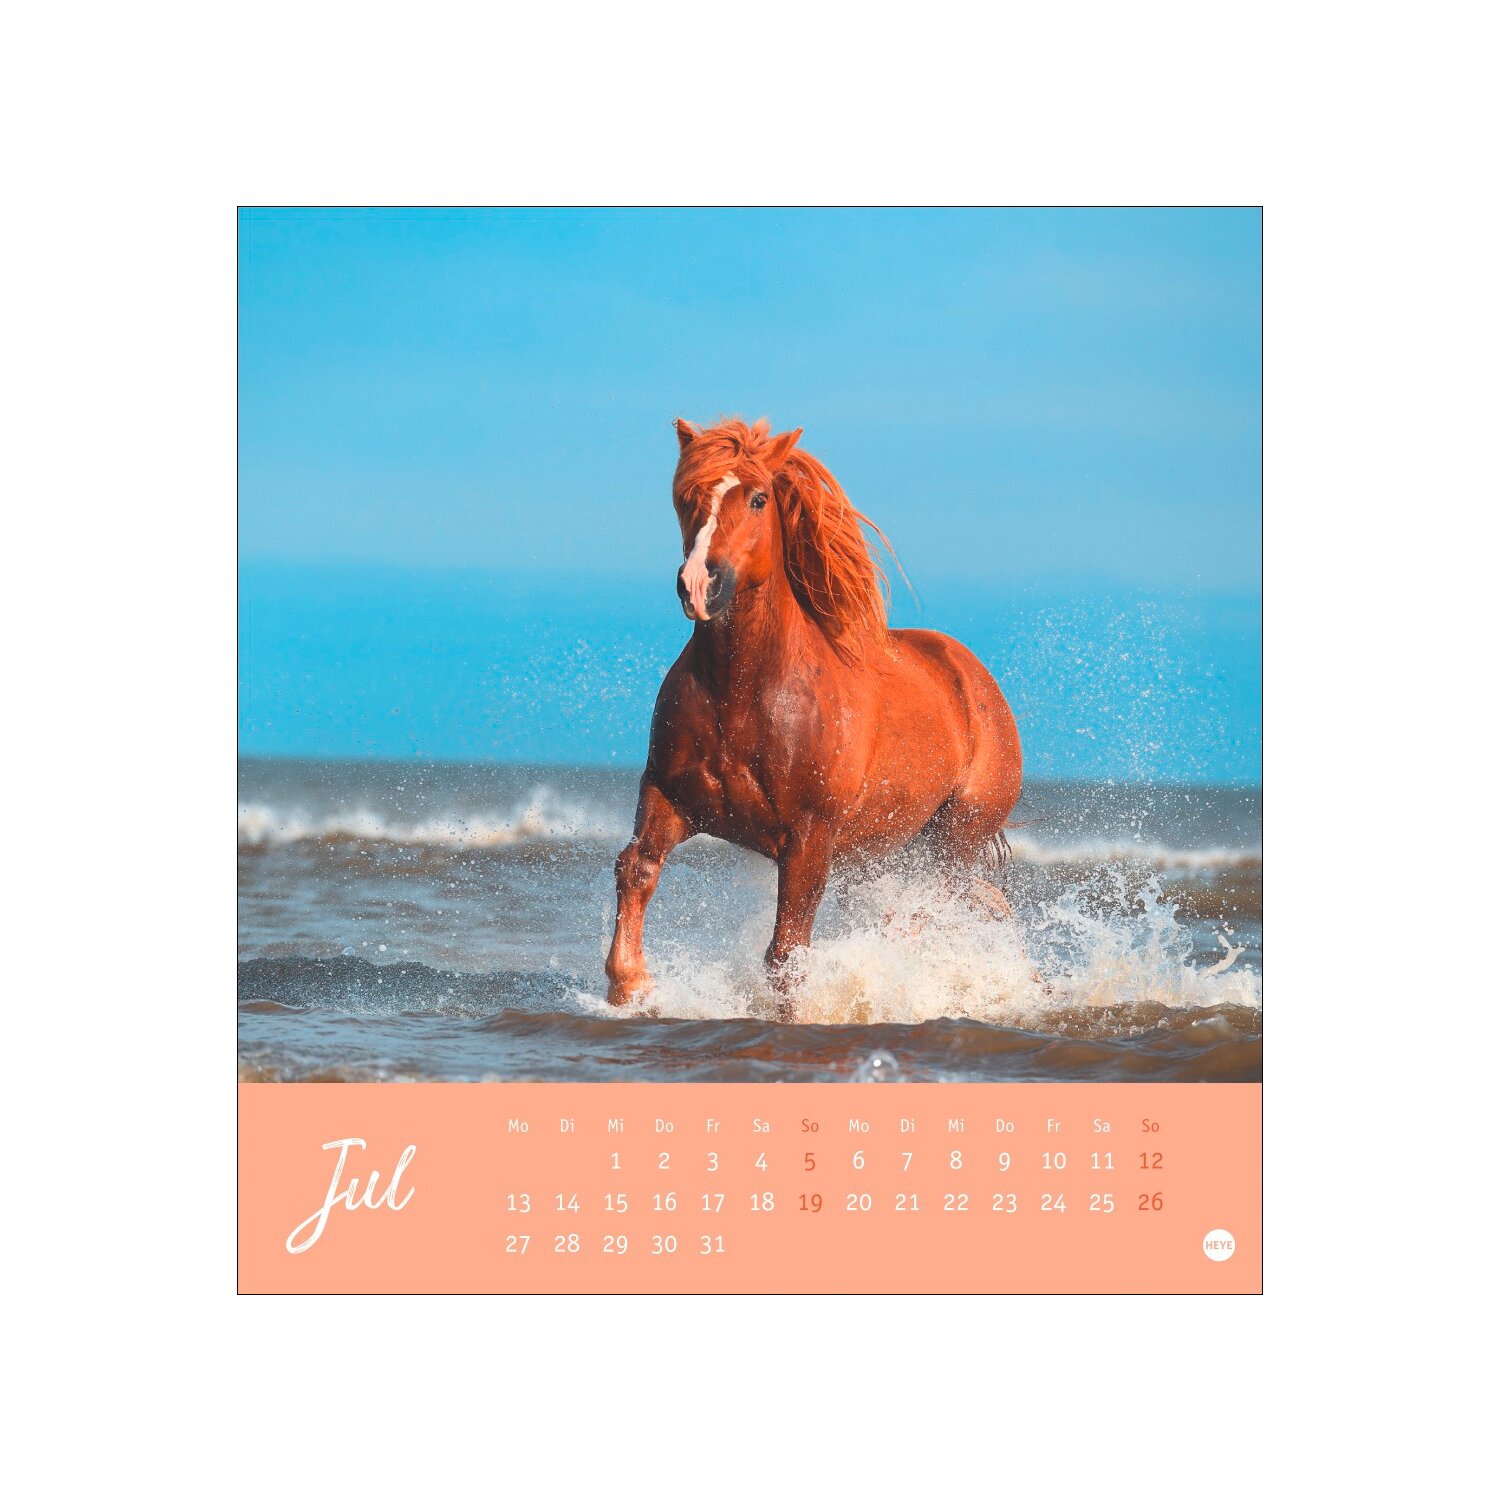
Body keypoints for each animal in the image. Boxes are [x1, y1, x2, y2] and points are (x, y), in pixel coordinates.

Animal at [605, 416, 1023, 1018]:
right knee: (979, 902)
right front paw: (630, 987)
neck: (743, 693)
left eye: (758, 499)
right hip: (880, 854)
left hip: (954, 838)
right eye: (685, 497)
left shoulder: (808, 838)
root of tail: (974, 675)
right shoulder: (669, 796)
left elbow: (786, 954)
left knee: (930, 907)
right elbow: (636, 868)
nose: (700, 584)